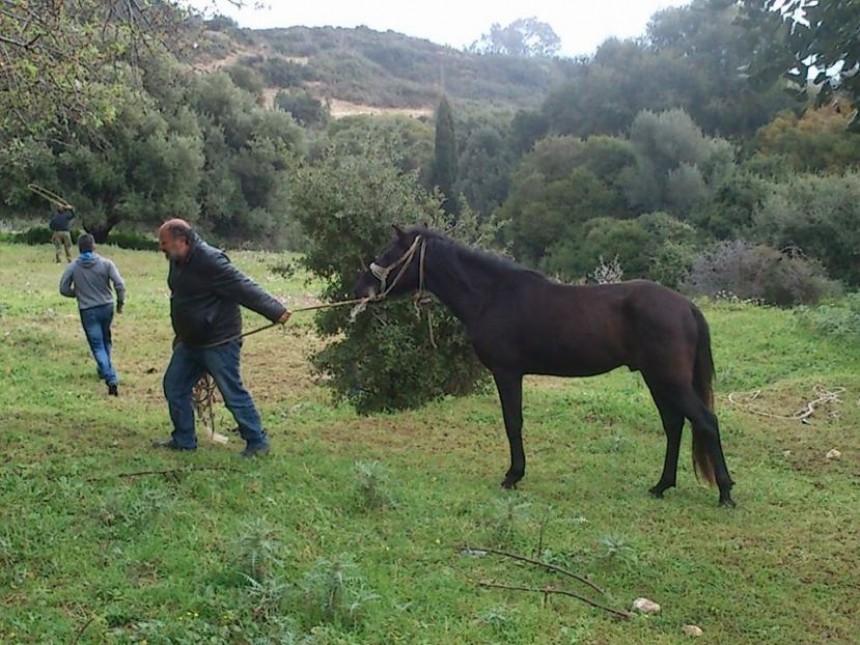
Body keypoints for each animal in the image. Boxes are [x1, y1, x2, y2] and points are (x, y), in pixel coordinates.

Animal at [352, 226, 736, 508]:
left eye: (390, 253)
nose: (362, 288)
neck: (491, 295)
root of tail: (686, 306)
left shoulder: (507, 373)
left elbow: (513, 423)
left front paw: (513, 475)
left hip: (669, 380)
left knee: (705, 422)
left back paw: (725, 493)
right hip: (658, 379)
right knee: (675, 425)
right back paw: (661, 486)